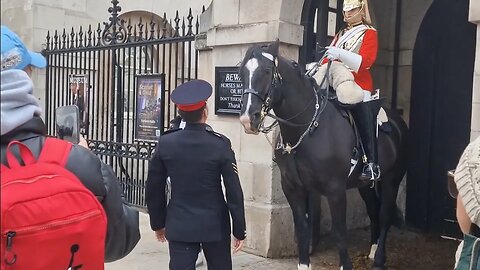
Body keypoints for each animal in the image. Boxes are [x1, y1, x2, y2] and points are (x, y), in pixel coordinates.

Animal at [238, 40, 406, 270]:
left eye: (266, 71)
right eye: (240, 73)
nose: (248, 120)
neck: (305, 129)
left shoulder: (335, 189)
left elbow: (339, 233)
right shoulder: (292, 187)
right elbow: (301, 227)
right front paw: (303, 264)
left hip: (391, 179)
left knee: (385, 213)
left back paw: (379, 259)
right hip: (365, 184)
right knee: (373, 209)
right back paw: (372, 250)